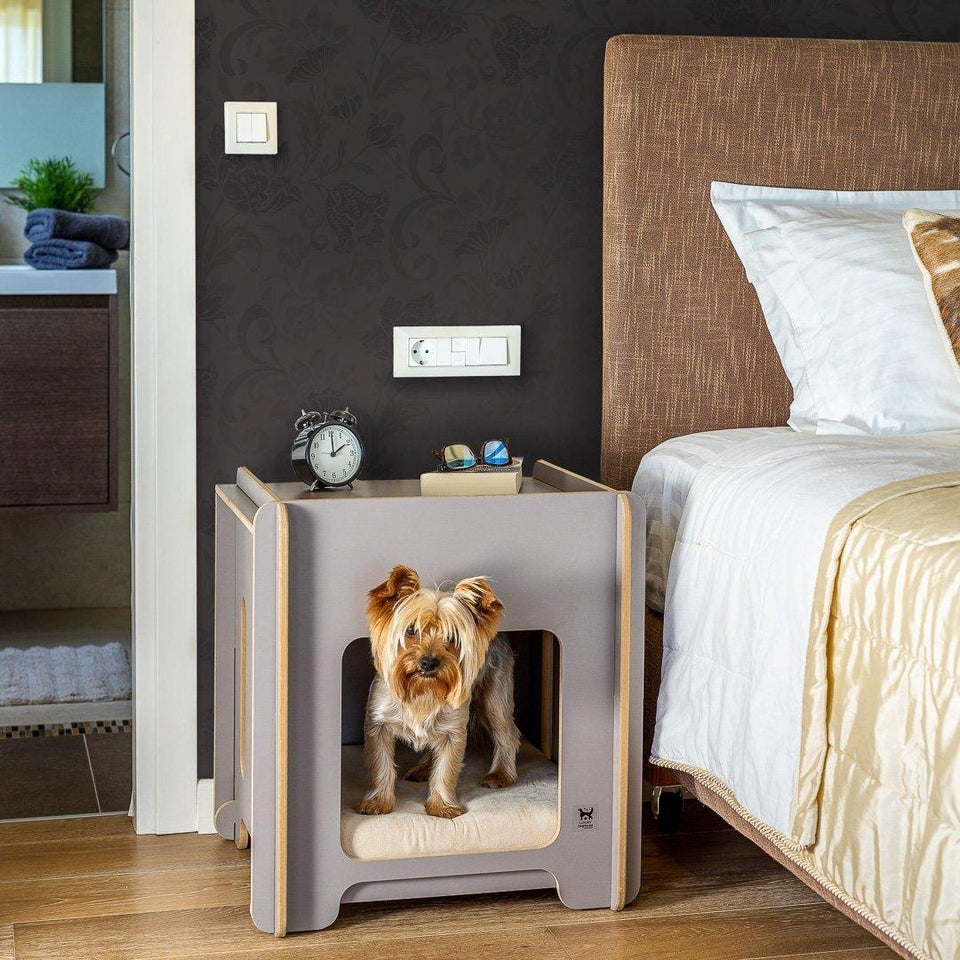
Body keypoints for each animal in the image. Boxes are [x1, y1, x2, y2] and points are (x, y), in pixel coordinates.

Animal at [354, 568, 520, 820]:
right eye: (411, 630)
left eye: (452, 637)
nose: (429, 662)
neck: (423, 690)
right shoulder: (377, 724)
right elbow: (380, 764)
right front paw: (377, 803)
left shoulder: (454, 730)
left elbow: (446, 769)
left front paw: (442, 806)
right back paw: (423, 769)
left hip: (494, 694)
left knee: (507, 733)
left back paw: (500, 774)